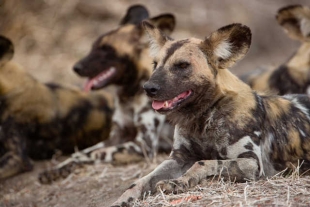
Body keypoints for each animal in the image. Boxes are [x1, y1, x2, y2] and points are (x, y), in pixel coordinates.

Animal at [37, 4, 176, 183]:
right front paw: (58, 168)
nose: (76, 67)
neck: (129, 95)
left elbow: (95, 154)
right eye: (93, 47)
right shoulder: (117, 135)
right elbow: (80, 153)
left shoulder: (144, 145)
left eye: (107, 49)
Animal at [110, 21, 310, 206]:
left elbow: (204, 162)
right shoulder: (179, 158)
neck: (203, 119)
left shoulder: (252, 163)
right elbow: (142, 180)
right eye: (155, 64)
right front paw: (122, 199)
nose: (148, 88)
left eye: (182, 65)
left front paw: (179, 182)